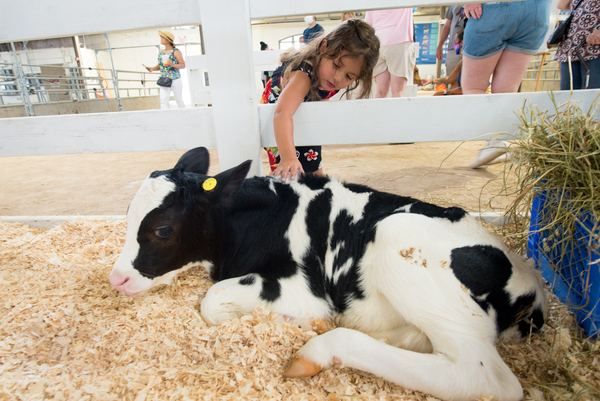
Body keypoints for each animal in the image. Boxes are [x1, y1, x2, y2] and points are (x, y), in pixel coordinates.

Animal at [110, 147, 548, 400]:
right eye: (127, 217)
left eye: (162, 229)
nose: (116, 279)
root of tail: (533, 286)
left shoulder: (302, 288)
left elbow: (213, 300)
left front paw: (302, 322)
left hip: (398, 239)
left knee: (485, 380)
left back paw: (318, 348)